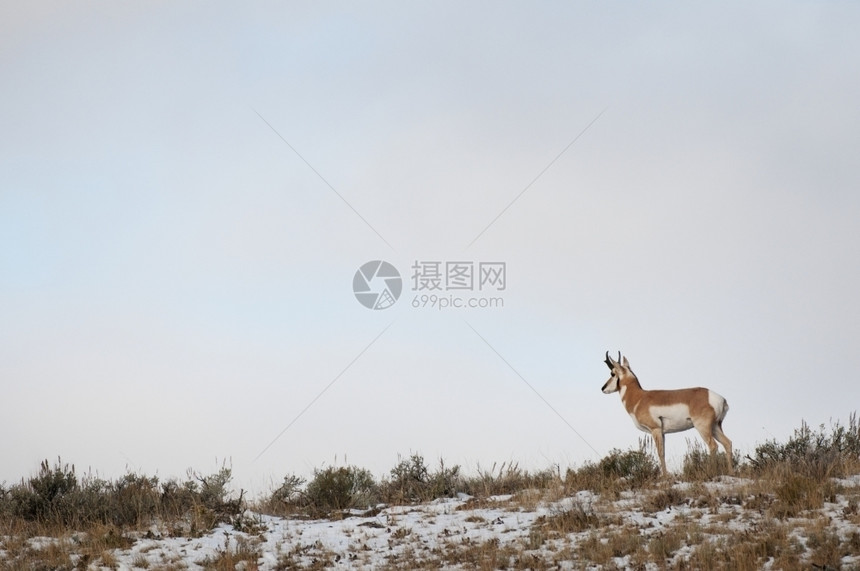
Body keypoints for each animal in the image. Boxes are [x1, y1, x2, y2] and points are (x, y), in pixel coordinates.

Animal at [596, 350, 732, 476]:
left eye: (612, 373)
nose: (603, 388)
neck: (639, 398)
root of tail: (720, 398)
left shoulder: (655, 430)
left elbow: (660, 453)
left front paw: (665, 476)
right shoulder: (663, 433)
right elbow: (664, 453)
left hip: (702, 427)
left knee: (713, 446)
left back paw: (712, 472)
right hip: (715, 427)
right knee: (727, 443)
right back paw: (730, 472)